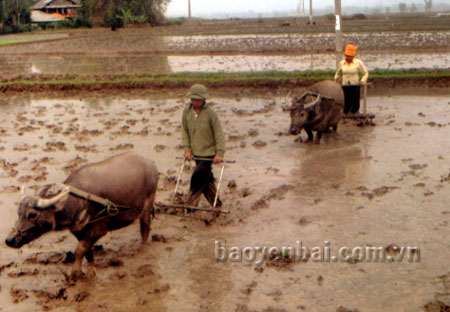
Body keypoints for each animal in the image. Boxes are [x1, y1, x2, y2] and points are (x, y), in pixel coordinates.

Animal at [5, 152, 158, 276]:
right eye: (19, 213)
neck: (77, 202)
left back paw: (142, 248)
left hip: (147, 205)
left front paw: (75, 273)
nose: (9, 240)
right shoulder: (80, 232)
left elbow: (79, 251)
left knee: (145, 228)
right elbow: (88, 252)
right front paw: (90, 272)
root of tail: (150, 163)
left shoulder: (98, 230)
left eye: (32, 214)